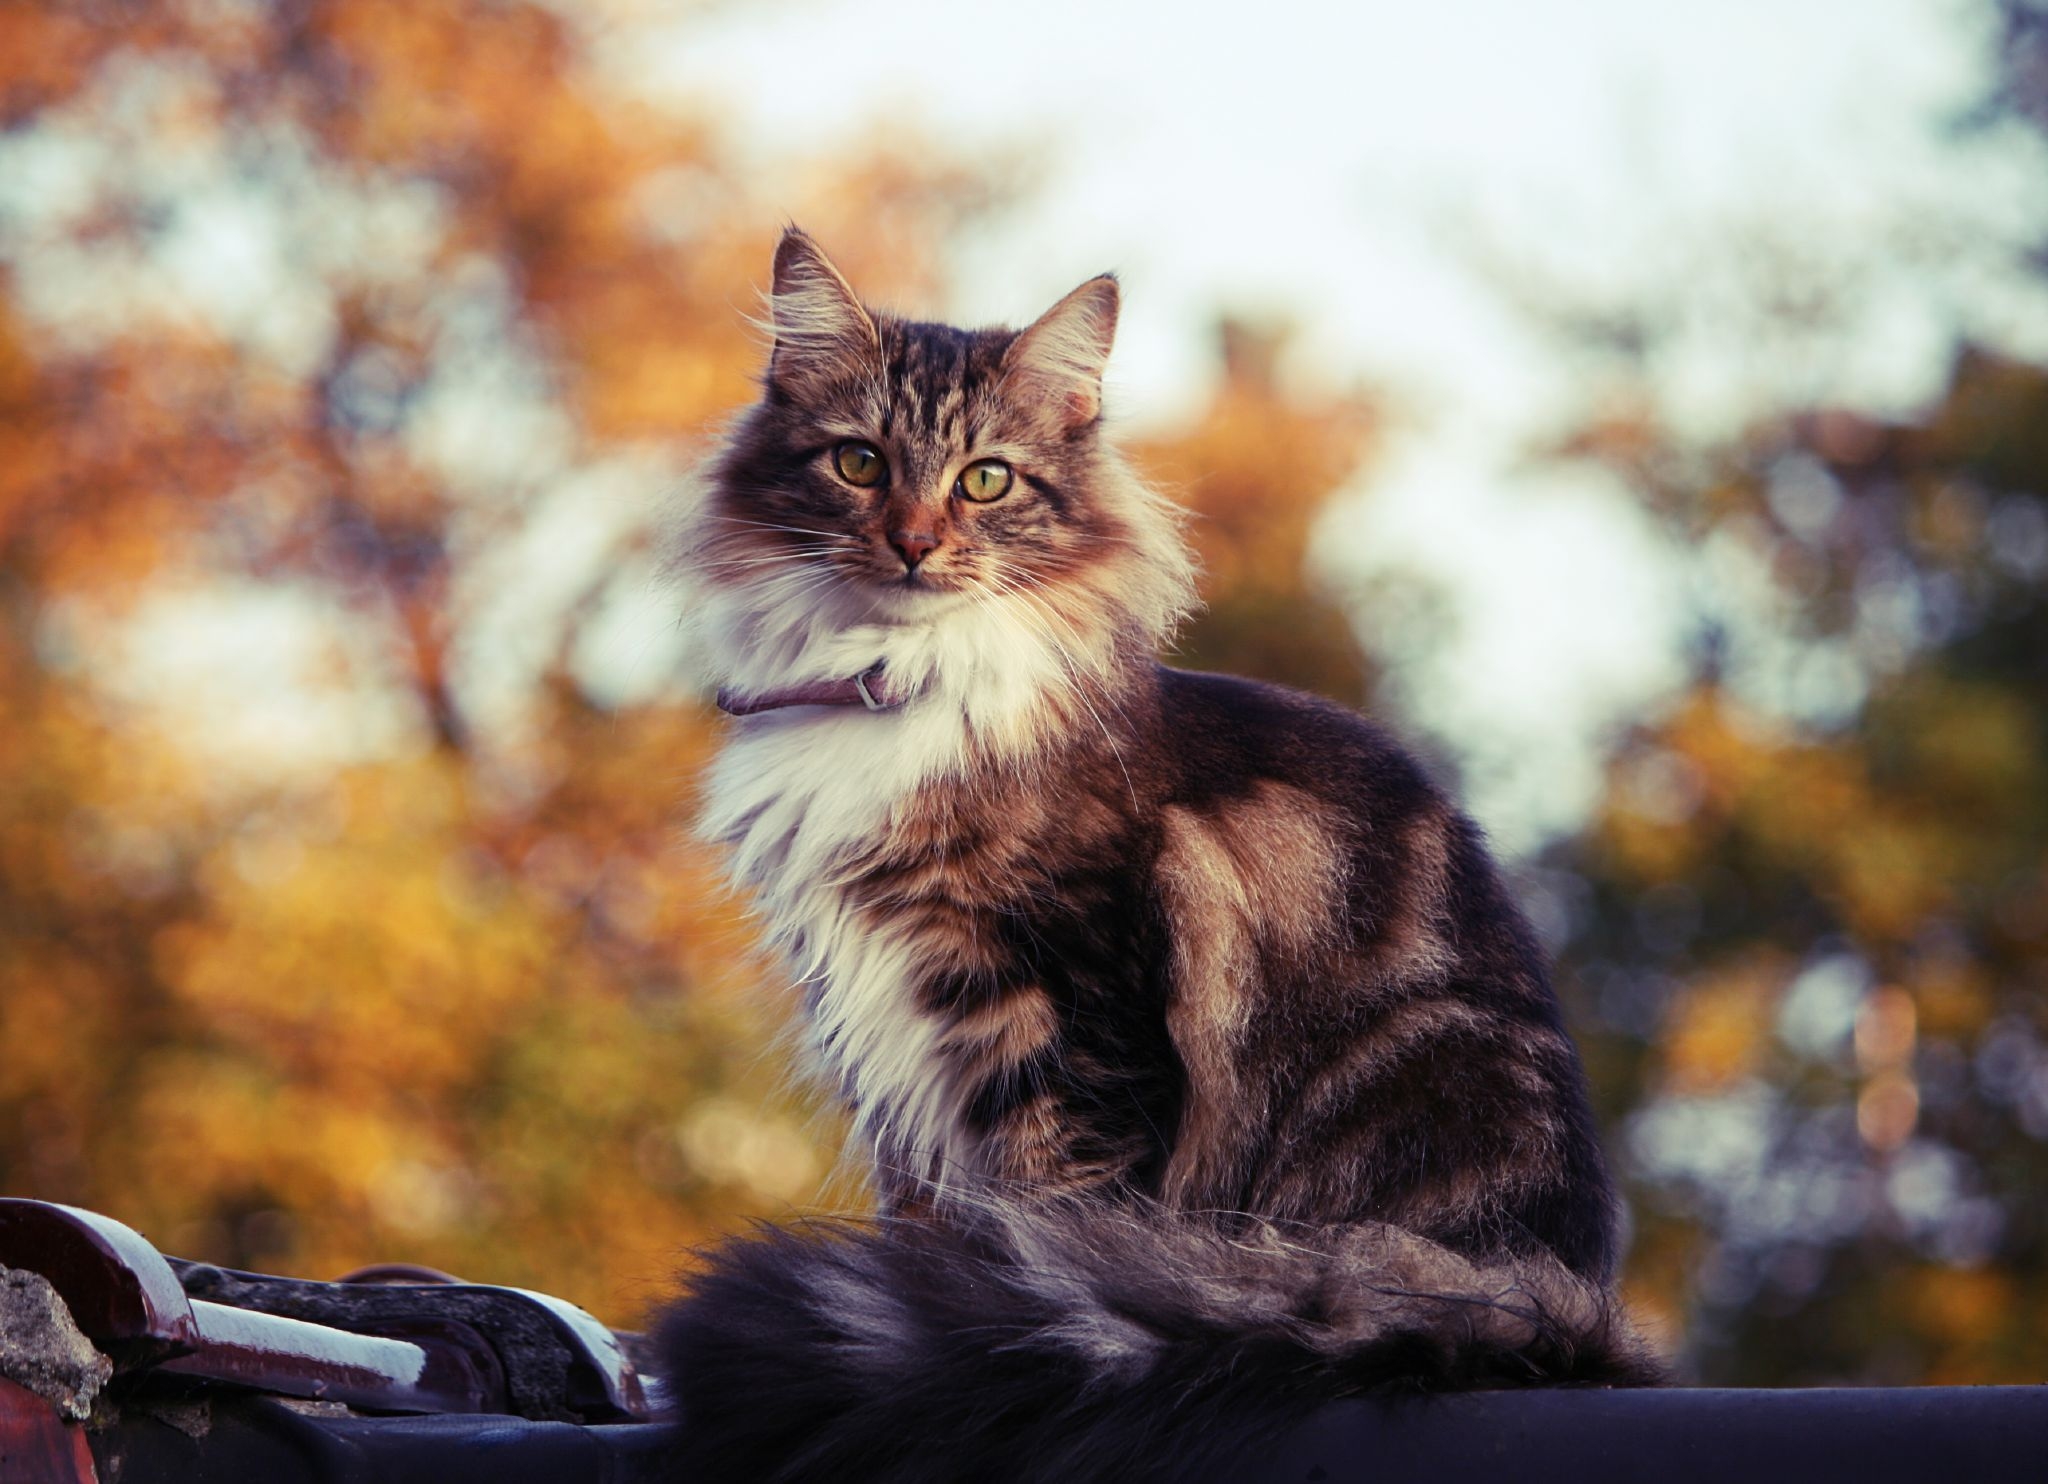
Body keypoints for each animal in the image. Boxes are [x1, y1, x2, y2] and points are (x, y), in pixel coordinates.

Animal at [655, 226, 1662, 1473]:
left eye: (984, 478)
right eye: (856, 461)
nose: (913, 544)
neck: (891, 693)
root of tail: (1559, 1301)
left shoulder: (1066, 1017)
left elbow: (1043, 1227)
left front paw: (986, 1354)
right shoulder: (895, 1050)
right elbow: (933, 1232)